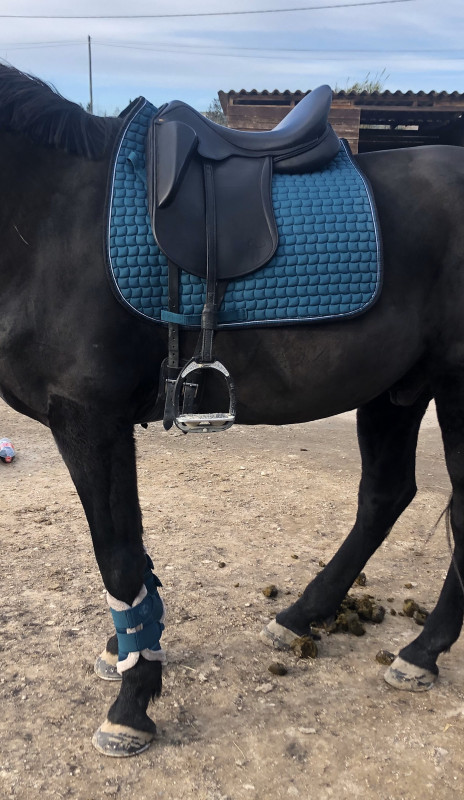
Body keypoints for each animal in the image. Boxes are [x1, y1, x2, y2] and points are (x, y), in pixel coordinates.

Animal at [1, 63, 464, 758]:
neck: (51, 220)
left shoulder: (87, 418)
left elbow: (118, 556)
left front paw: (132, 704)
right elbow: (134, 553)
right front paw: (131, 651)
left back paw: (422, 651)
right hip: (396, 391)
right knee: (386, 495)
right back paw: (302, 617)